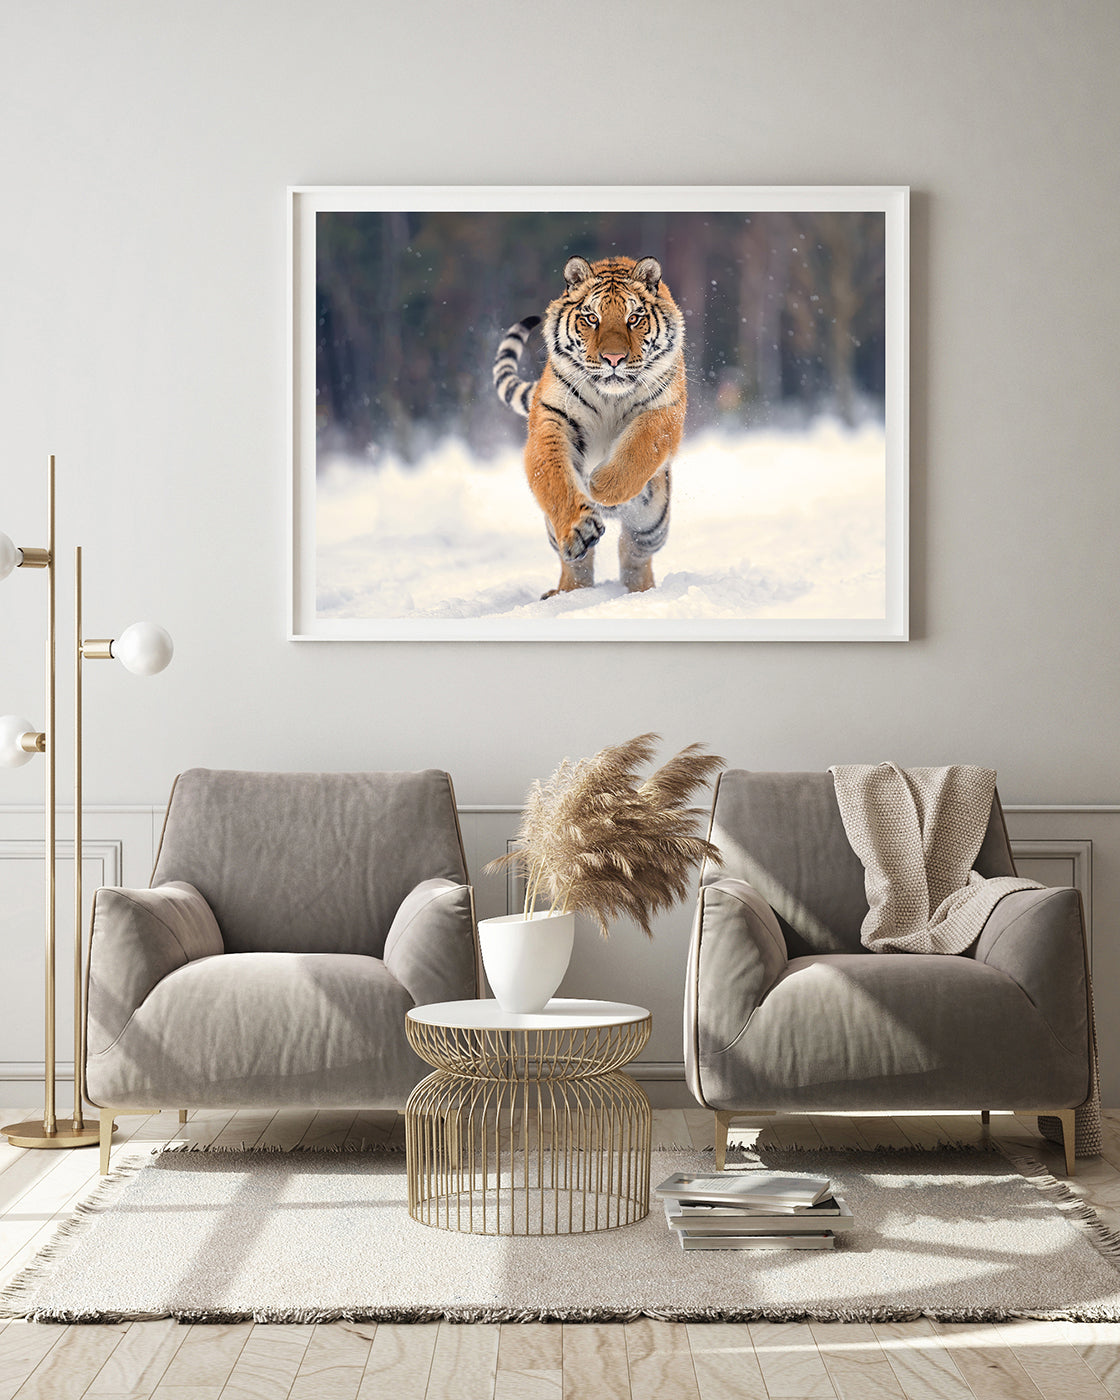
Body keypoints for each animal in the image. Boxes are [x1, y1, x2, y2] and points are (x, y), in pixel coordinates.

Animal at [493, 254, 686, 598]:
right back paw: (566, 593)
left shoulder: (666, 410)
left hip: (652, 523)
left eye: (634, 318)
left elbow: (640, 446)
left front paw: (601, 485)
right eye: (592, 318)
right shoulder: (552, 418)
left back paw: (641, 592)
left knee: (633, 552)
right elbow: (554, 477)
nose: (614, 358)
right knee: (577, 562)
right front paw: (579, 527)